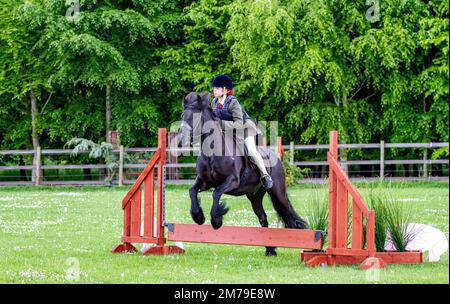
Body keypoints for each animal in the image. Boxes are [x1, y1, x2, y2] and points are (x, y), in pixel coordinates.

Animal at [179, 91, 310, 255]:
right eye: (183, 115)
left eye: (195, 116)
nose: (182, 139)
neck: (212, 153)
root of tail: (276, 157)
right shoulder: (204, 182)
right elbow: (192, 191)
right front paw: (198, 217)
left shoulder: (232, 181)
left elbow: (216, 193)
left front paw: (216, 221)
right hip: (254, 196)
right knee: (263, 217)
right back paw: (270, 250)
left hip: (277, 191)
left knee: (288, 211)